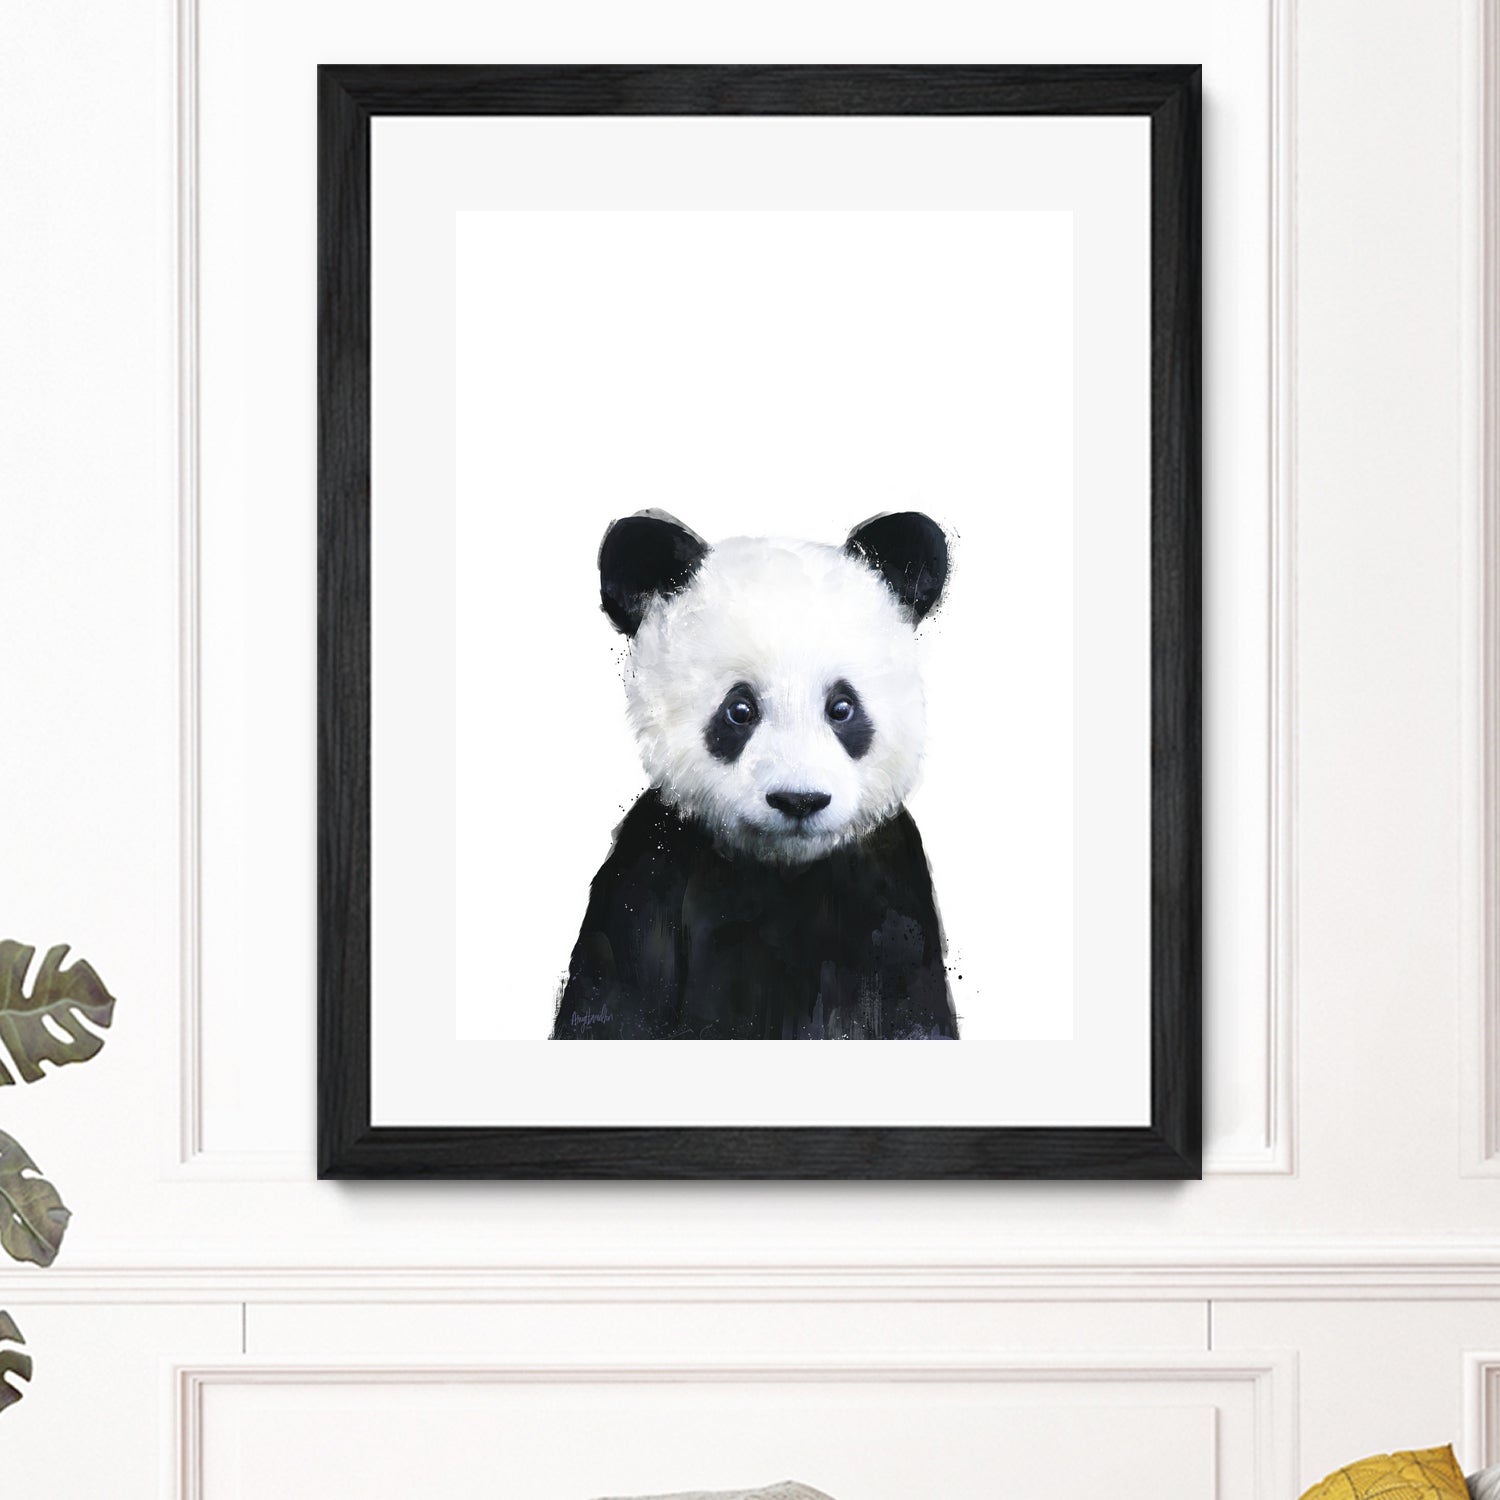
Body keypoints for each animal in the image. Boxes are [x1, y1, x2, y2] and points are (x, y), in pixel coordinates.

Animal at [551, 509, 959, 1041]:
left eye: (842, 707)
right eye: (739, 710)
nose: (799, 800)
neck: (783, 868)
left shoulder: (890, 890)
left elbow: (912, 1009)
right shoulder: (650, 874)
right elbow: (614, 1000)